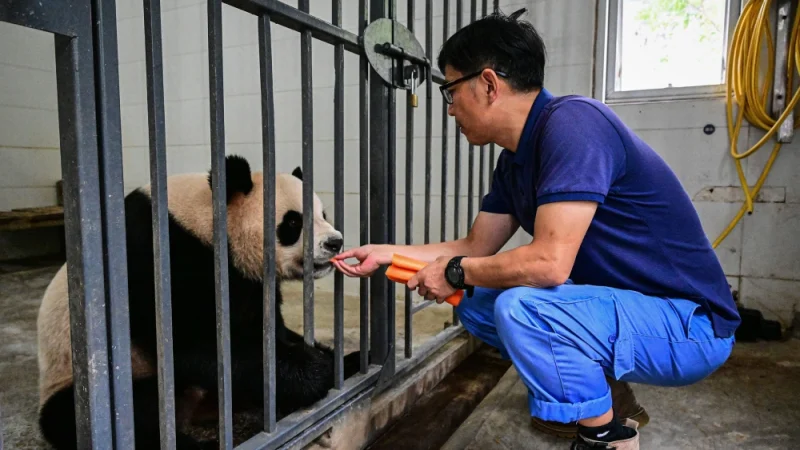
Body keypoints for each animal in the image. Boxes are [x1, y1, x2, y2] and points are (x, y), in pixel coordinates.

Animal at [36, 156, 364, 450]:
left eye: (324, 214)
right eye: (293, 222)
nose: (335, 242)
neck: (206, 222)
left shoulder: (245, 281)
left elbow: (266, 328)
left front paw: (336, 359)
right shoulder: (155, 259)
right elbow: (194, 343)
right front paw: (314, 369)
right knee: (131, 414)